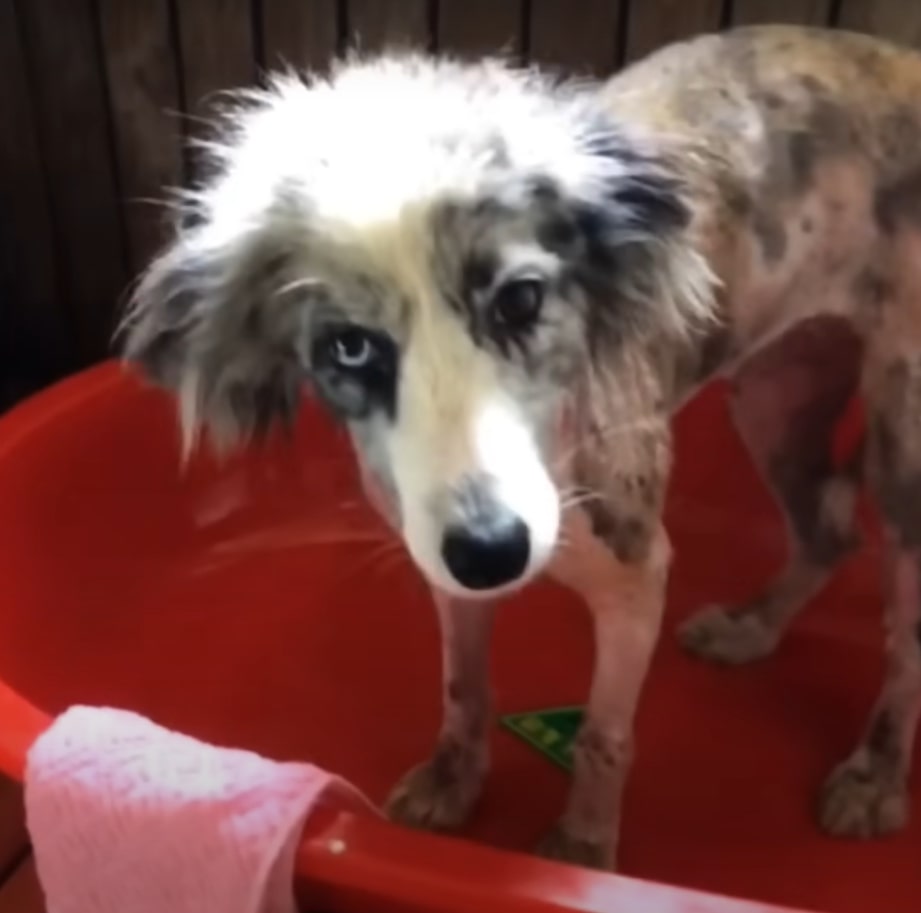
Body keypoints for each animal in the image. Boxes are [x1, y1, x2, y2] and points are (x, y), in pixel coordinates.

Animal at [118, 25, 920, 868]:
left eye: (520, 300)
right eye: (348, 347)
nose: (492, 549)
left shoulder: (636, 574)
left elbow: (603, 733)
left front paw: (582, 846)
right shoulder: (445, 572)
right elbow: (463, 688)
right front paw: (452, 781)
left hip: (903, 458)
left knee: (905, 644)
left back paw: (873, 775)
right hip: (774, 398)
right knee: (827, 530)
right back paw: (752, 628)